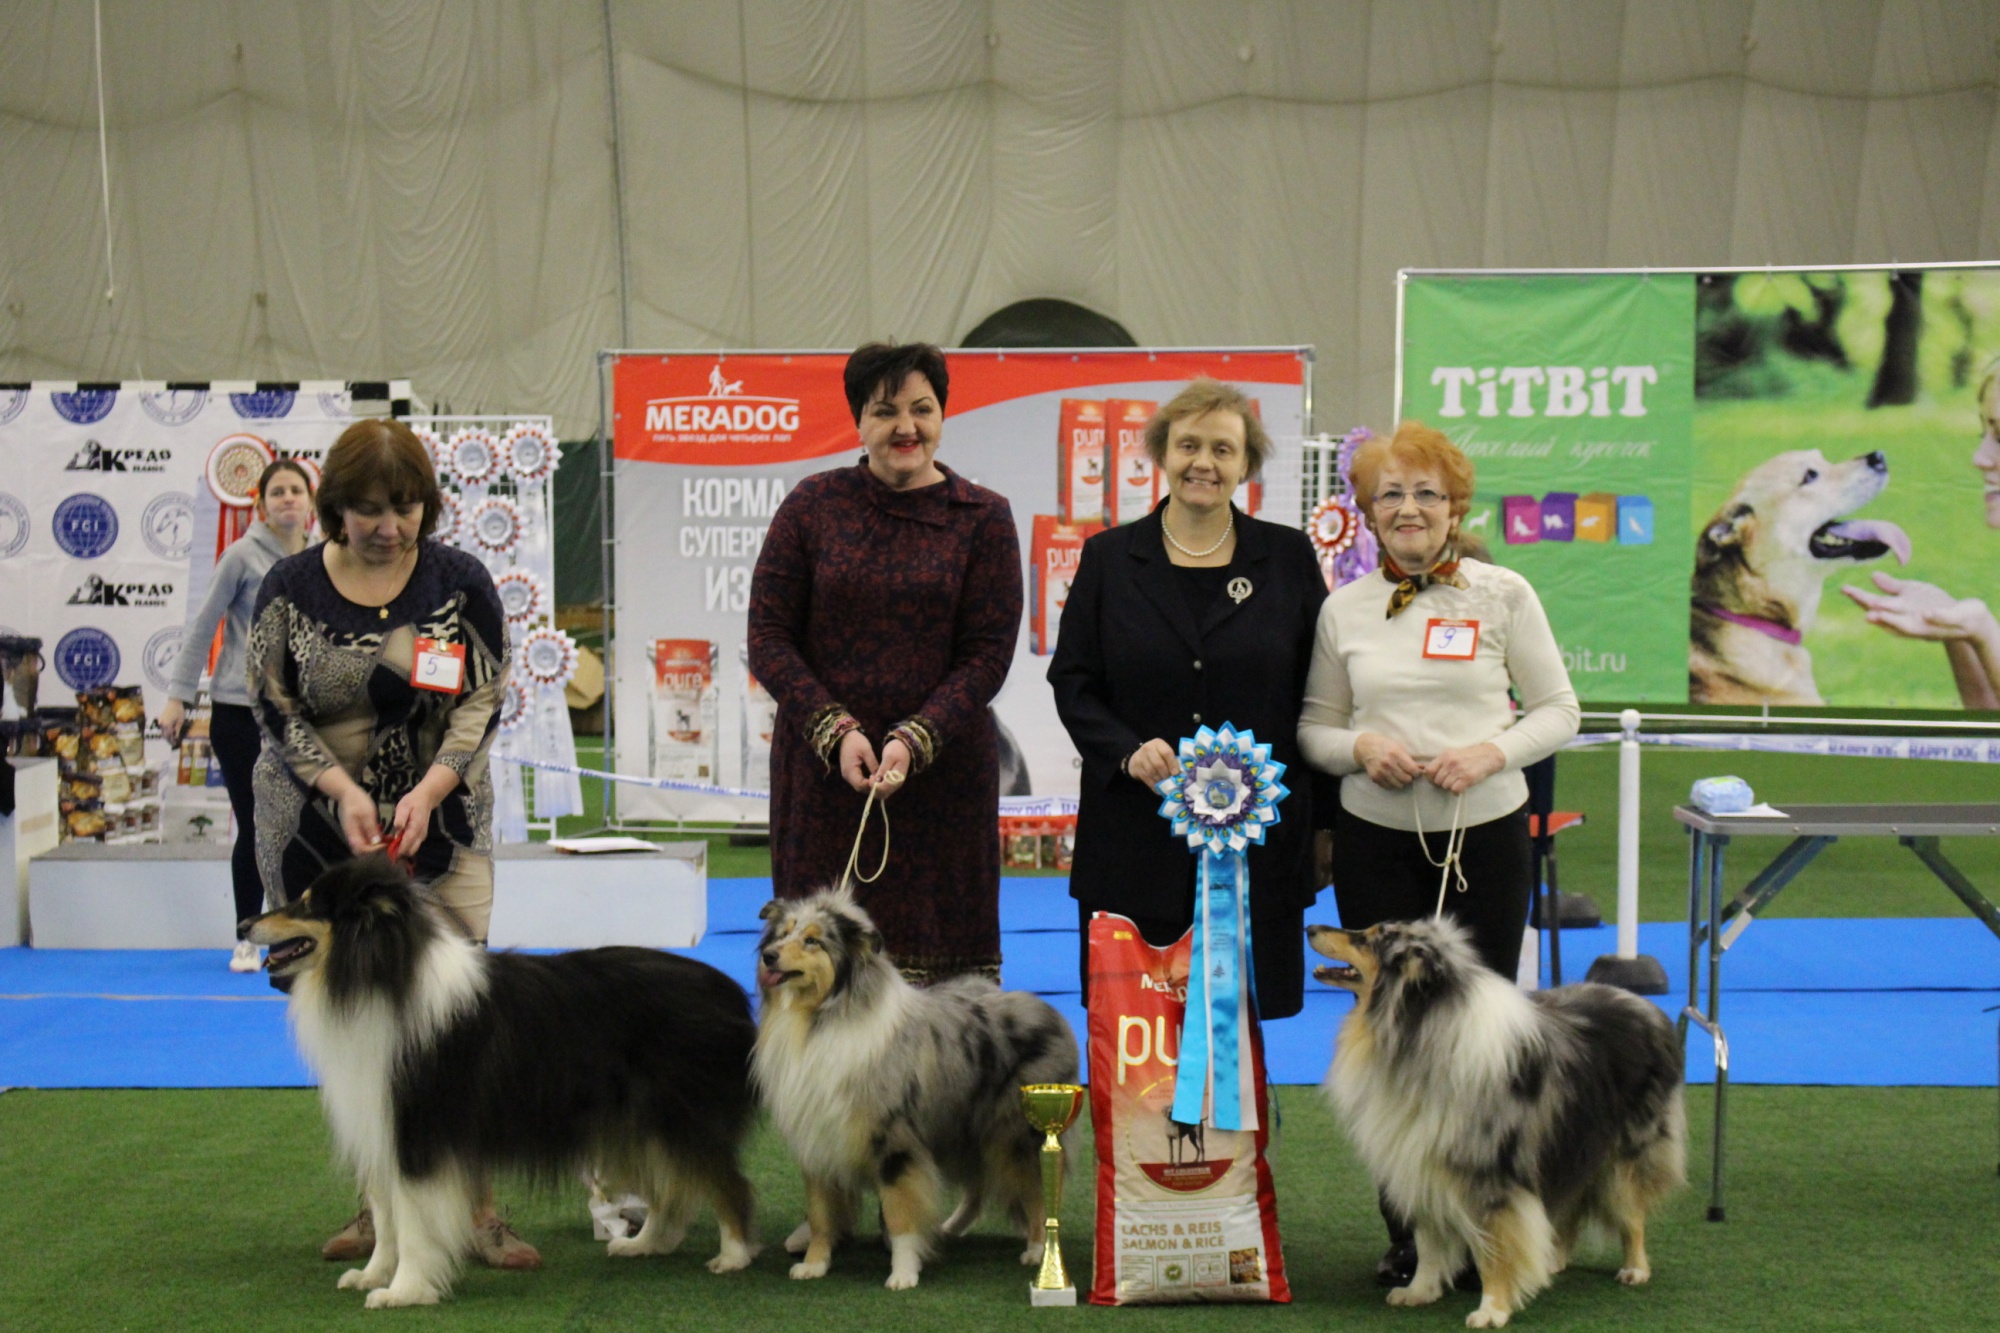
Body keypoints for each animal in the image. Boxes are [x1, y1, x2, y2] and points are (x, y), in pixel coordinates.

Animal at [242, 856, 756, 1304]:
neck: (376, 976)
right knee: (673, 1191)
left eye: (308, 904)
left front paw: (404, 1292)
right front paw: (372, 1276)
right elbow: (386, 1221)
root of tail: (732, 991)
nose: (244, 925)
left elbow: (412, 1224)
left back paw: (732, 1256)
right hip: (638, 1125)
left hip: (681, 1117)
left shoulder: (417, 1134)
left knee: (725, 1183)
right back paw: (645, 1244)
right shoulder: (380, 1127)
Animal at [752, 888, 1080, 1280]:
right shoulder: (817, 1139)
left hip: (1015, 1135)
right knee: (979, 1187)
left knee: (1034, 1190)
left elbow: (899, 1213)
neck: (818, 1020)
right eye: (783, 934)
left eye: (813, 941)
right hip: (965, 1128)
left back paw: (1036, 1250)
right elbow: (820, 1215)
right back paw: (951, 1228)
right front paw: (814, 1264)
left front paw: (903, 1273)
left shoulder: (894, 1140)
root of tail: (1052, 1013)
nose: (769, 956)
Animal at [1312, 920, 1688, 1320]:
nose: (1311, 927)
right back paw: (1552, 1261)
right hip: (1568, 1144)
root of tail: (1643, 1004)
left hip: (1624, 1154)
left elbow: (1492, 1249)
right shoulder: (1423, 1161)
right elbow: (1428, 1240)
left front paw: (1492, 1309)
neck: (1420, 1032)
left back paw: (1634, 1268)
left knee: (1631, 1215)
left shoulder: (1489, 1174)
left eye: (1370, 938)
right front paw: (1419, 1290)